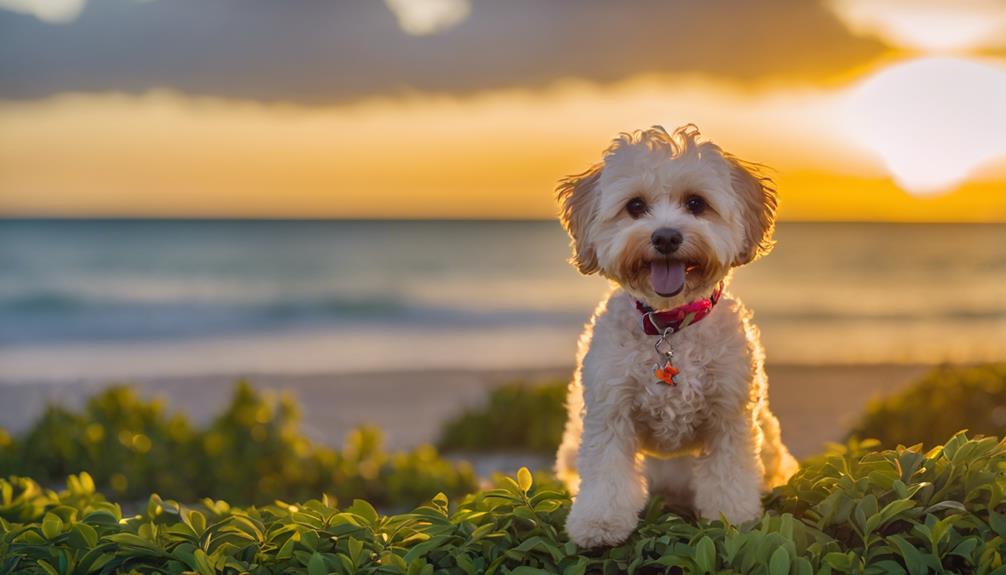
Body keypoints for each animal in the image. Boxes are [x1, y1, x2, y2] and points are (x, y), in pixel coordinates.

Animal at [555, 125, 796, 546]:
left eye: (696, 203)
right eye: (635, 206)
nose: (666, 237)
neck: (669, 325)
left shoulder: (729, 415)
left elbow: (729, 476)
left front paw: (733, 519)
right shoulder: (610, 411)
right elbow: (606, 474)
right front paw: (599, 523)